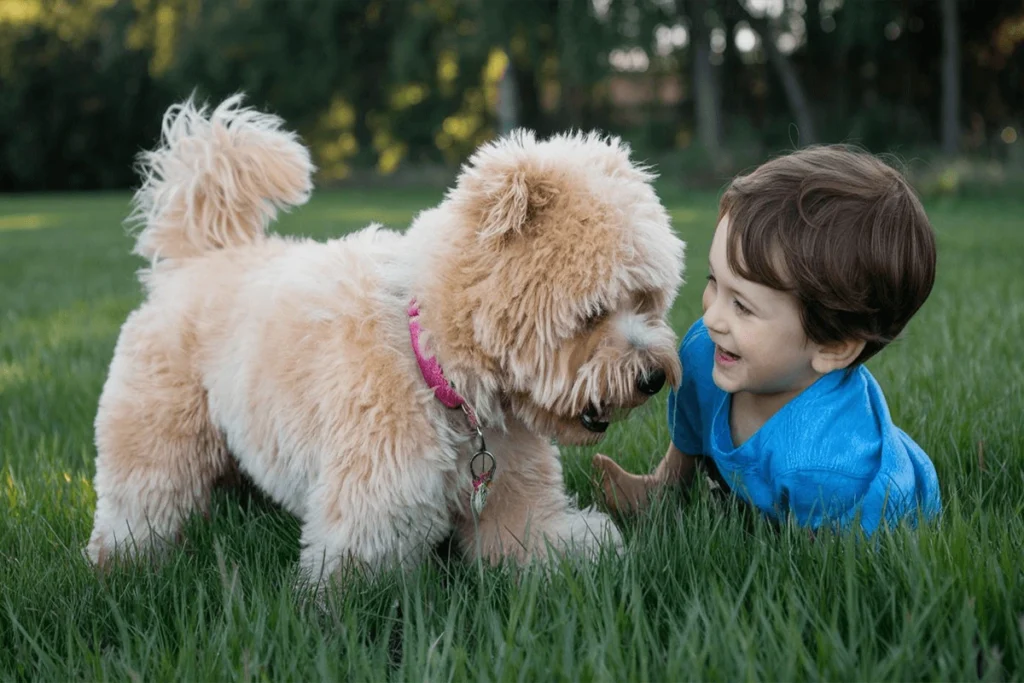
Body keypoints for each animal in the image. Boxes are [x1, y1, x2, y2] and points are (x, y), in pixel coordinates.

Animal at [83, 96, 684, 585]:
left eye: (646, 301)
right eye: (593, 313)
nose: (654, 378)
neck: (435, 362)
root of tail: (196, 258)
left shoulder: (514, 501)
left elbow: (548, 543)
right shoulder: (374, 513)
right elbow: (359, 598)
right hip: (158, 436)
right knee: (139, 504)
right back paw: (121, 566)